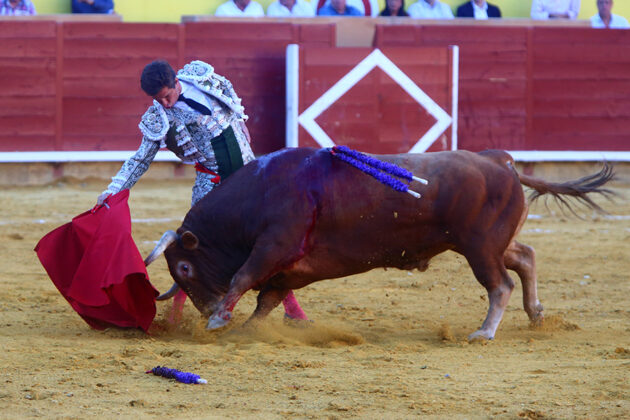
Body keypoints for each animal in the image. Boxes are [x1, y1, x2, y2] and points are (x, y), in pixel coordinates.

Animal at [146, 147, 616, 338]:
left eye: (184, 267)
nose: (205, 309)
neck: (260, 192)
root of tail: (499, 160)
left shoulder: (273, 247)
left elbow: (244, 278)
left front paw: (220, 320)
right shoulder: (289, 269)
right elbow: (267, 300)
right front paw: (245, 329)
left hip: (479, 247)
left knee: (500, 283)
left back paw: (484, 332)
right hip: (488, 242)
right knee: (525, 256)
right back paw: (536, 314)